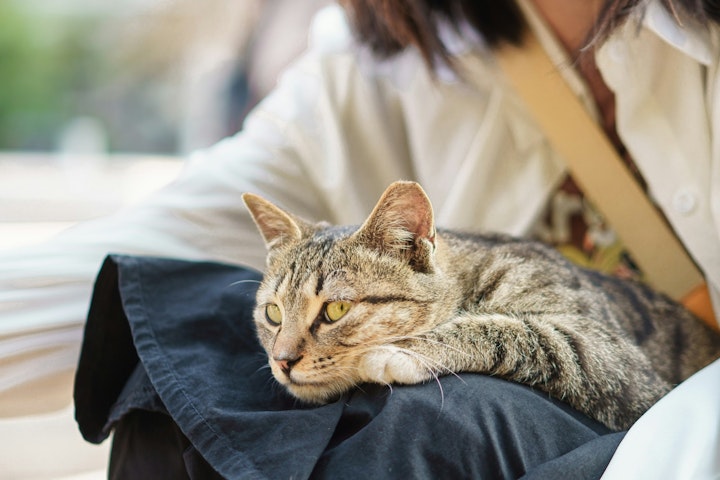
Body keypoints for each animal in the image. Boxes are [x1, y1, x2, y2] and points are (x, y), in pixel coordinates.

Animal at [242, 180, 720, 432]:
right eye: (273, 314)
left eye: (336, 311)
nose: (282, 360)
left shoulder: (614, 360)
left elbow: (516, 329)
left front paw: (400, 352)